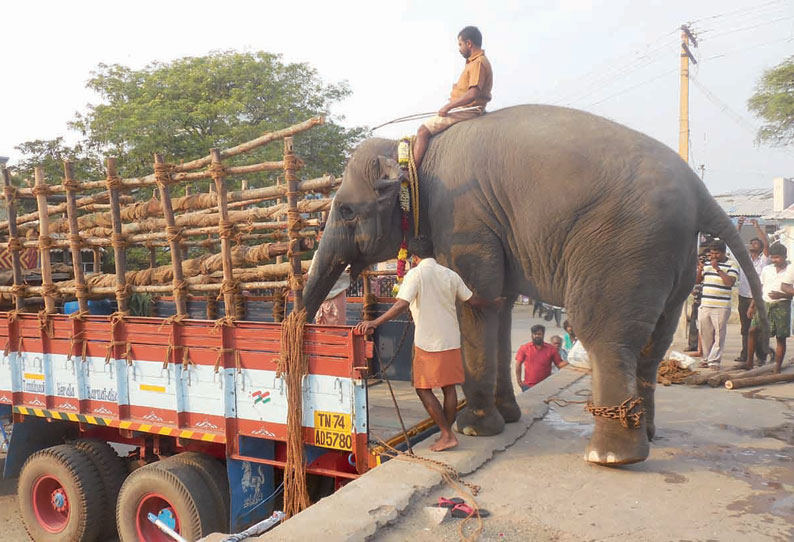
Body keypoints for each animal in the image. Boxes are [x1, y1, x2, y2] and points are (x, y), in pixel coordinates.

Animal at [300, 105, 764, 468]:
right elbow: (499, 303)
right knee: (653, 344)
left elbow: (477, 302)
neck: (411, 152)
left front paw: (475, 430)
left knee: (606, 335)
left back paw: (610, 458)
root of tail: (701, 193)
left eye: (345, 211)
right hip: (677, 259)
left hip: (627, 246)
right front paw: (508, 418)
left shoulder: (463, 220)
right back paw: (646, 433)